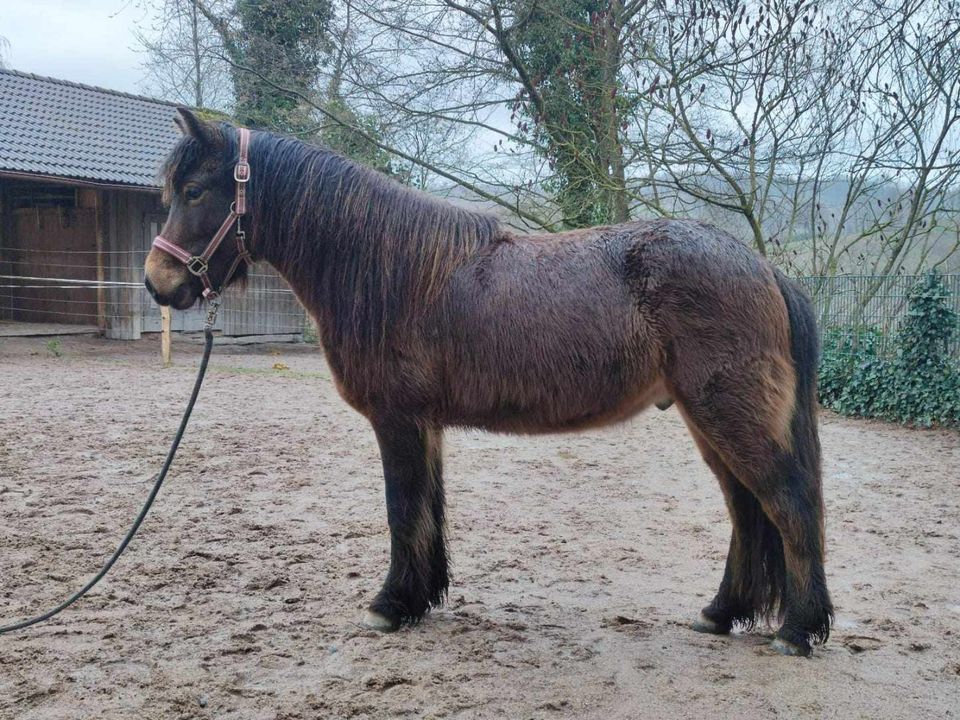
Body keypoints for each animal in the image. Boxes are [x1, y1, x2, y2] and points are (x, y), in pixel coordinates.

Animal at [142, 109, 832, 656]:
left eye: (196, 190)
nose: (157, 282)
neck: (389, 269)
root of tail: (762, 268)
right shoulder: (424, 424)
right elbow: (427, 509)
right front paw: (420, 598)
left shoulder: (397, 420)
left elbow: (401, 509)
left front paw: (389, 606)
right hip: (706, 419)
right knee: (747, 509)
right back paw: (721, 614)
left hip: (730, 415)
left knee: (789, 503)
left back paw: (798, 631)